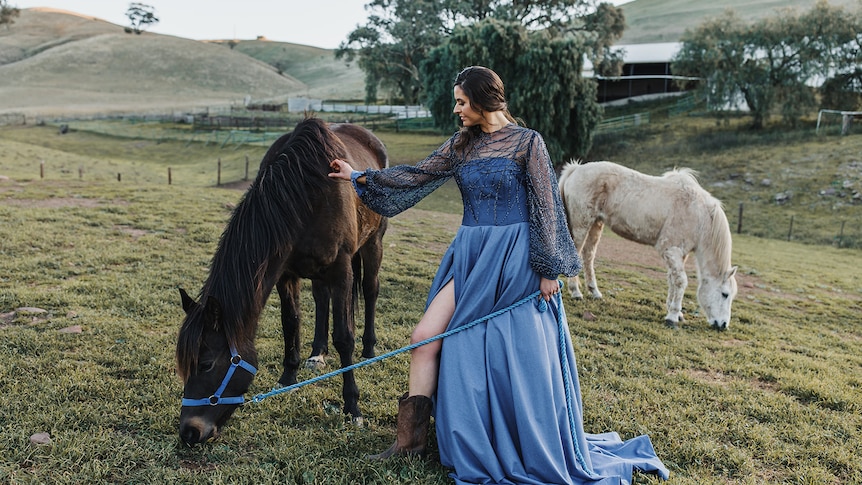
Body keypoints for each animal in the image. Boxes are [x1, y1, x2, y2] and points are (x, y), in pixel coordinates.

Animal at [176, 117, 388, 442]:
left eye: (206, 364)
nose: (189, 432)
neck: (304, 193)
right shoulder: (285, 272)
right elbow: (291, 321)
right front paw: (288, 376)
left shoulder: (341, 269)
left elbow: (344, 337)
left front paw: (353, 407)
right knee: (321, 298)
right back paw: (317, 353)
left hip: (372, 243)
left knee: (370, 290)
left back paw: (369, 349)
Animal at [564, 161, 740, 330]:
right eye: (725, 294)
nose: (723, 325)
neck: (698, 214)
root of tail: (576, 169)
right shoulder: (671, 250)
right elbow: (681, 281)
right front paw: (673, 317)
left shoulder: (679, 254)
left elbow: (672, 280)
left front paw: (675, 312)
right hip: (582, 224)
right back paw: (576, 292)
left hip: (596, 224)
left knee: (588, 256)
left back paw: (595, 292)